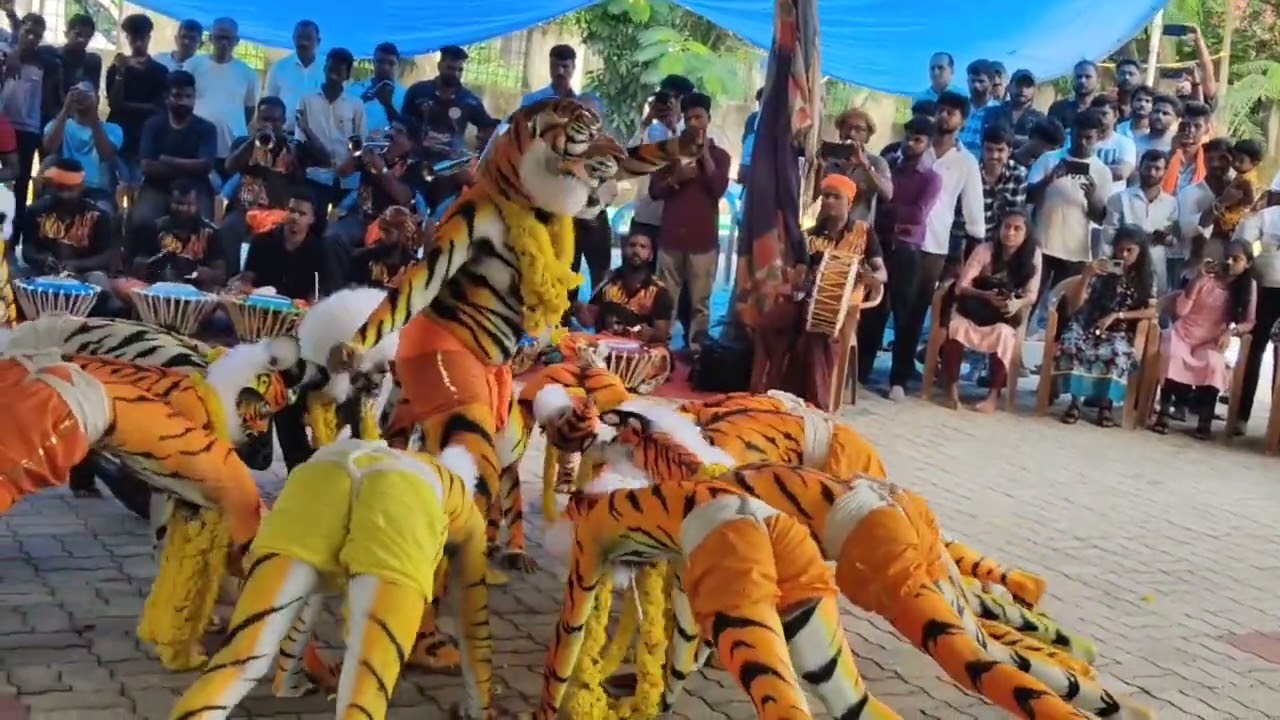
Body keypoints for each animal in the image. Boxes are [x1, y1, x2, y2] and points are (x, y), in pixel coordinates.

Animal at [168, 438, 494, 720]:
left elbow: (301, 625)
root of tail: (358, 466)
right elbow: (476, 639)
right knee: (359, 700)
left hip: (293, 544)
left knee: (227, 674)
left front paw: (290, 684)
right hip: (391, 577)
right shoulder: (471, 543)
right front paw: (479, 711)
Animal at [322, 97, 704, 671]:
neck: (531, 204)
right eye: (585, 129)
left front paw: (686, 144)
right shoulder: (463, 227)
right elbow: (408, 292)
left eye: (613, 137)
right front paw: (350, 346)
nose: (611, 157)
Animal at [539, 478, 898, 720]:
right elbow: (681, 654)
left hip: (742, 614)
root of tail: (753, 513)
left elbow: (565, 648)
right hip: (810, 611)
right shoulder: (685, 586)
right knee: (861, 704)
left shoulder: (586, 553)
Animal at [576, 404, 1149, 720]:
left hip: (904, 592)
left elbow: (668, 649)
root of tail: (895, 501)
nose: (581, 484)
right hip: (935, 588)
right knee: (1020, 657)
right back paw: (1116, 691)